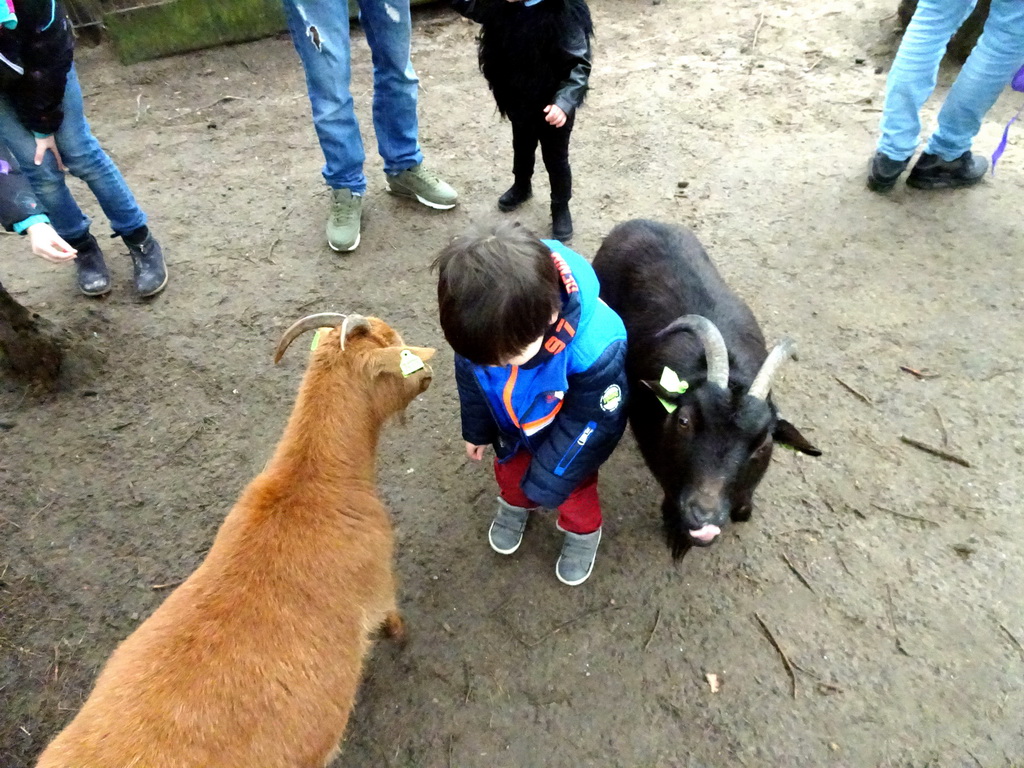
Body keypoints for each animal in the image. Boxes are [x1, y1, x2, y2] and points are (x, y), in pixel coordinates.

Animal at [36, 313, 434, 768]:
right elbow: (391, 613)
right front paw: (401, 635)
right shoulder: (378, 579)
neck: (310, 484)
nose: (430, 372)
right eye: (397, 346)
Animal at [593, 221, 815, 561]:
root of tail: (637, 223)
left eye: (765, 443)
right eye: (683, 421)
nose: (702, 516)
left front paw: (743, 510)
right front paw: (676, 533)